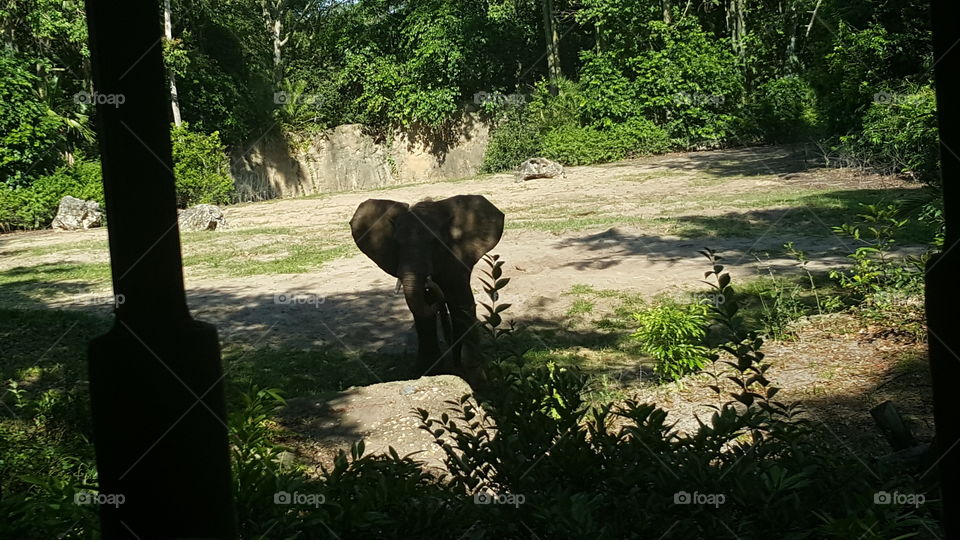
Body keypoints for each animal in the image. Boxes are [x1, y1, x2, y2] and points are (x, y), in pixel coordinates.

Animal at [350, 193, 502, 384]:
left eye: (435, 242)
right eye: (396, 244)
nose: (431, 284)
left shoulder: (457, 254)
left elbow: (461, 303)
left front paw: (475, 377)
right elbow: (422, 309)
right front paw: (426, 372)